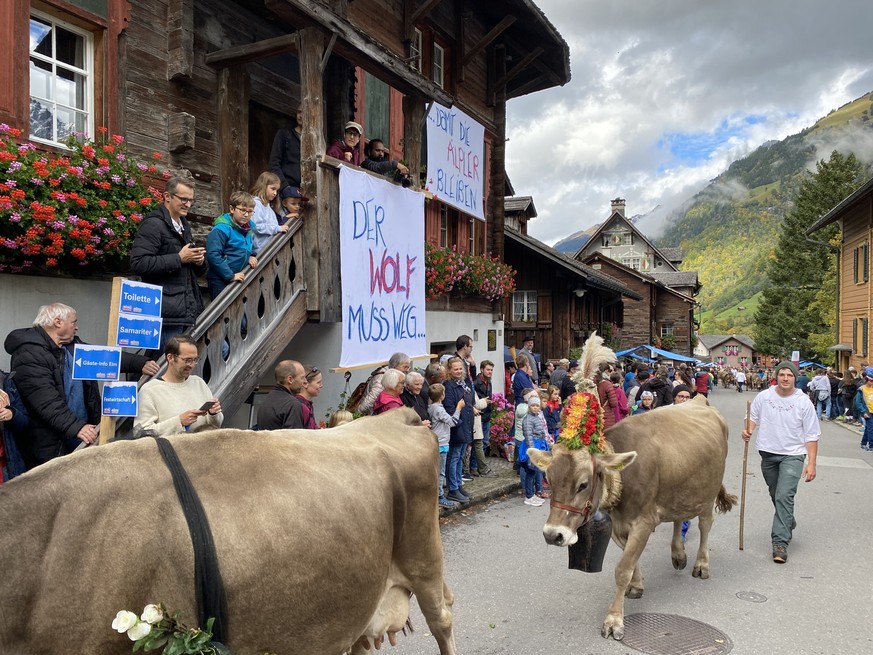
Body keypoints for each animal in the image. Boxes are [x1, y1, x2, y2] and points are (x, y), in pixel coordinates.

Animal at [528, 334, 732, 640]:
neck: (622, 482)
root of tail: (698, 399)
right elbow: (629, 558)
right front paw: (637, 585)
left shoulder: (643, 521)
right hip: (680, 486)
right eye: (549, 481)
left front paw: (614, 619)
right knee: (679, 517)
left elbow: (622, 568)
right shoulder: (619, 524)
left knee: (705, 524)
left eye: (583, 484)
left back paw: (700, 564)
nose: (553, 535)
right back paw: (678, 554)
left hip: (708, 491)